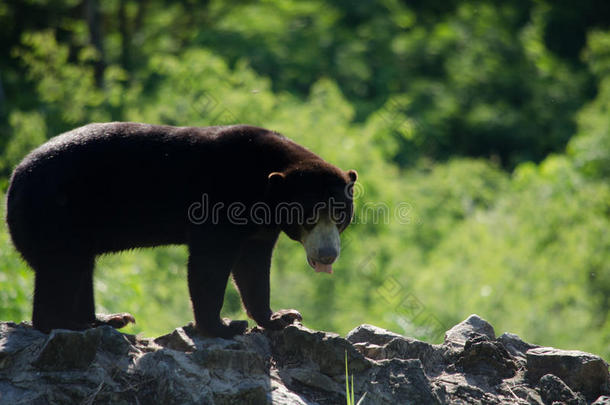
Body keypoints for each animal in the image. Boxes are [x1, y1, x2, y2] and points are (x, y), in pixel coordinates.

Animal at [4, 123, 356, 338]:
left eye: (340, 215)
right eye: (309, 216)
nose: (327, 254)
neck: (263, 183)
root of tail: (14, 180)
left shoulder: (261, 226)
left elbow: (253, 266)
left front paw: (281, 316)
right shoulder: (222, 197)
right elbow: (210, 260)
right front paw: (224, 325)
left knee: (80, 269)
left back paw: (105, 319)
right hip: (56, 214)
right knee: (63, 266)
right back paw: (67, 323)